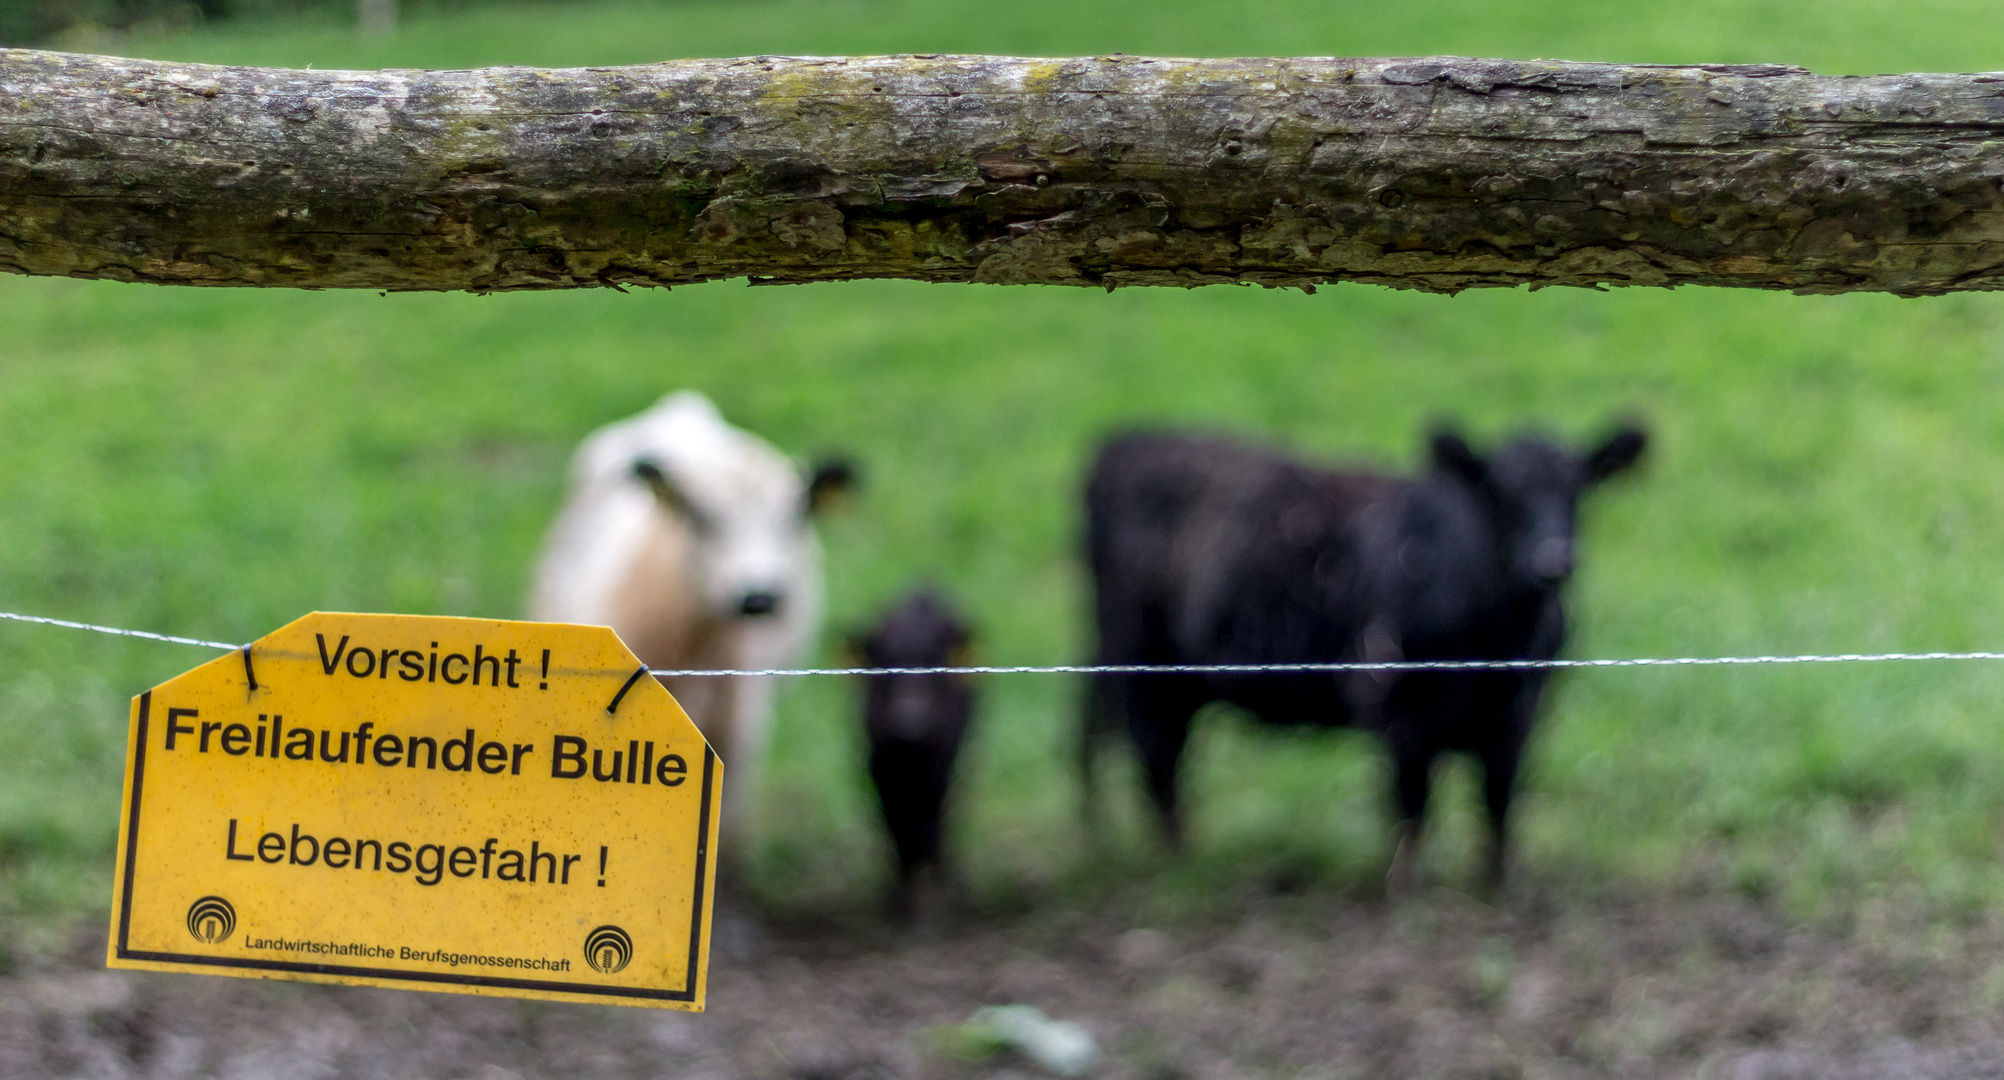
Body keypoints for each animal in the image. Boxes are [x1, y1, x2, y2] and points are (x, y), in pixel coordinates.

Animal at [849, 593, 973, 913]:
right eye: (883, 664)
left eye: (935, 661)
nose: (909, 716)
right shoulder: (879, 768)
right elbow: (895, 823)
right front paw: (901, 895)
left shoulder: (941, 766)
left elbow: (931, 821)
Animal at [1082, 418, 1643, 893]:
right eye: (1501, 492)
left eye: (1578, 487)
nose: (1554, 560)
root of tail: (1125, 442)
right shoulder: (1401, 713)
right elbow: (1413, 805)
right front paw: (1406, 889)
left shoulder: (1517, 719)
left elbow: (1499, 804)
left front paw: (1499, 886)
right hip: (1146, 670)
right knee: (1156, 758)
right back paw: (1178, 862)